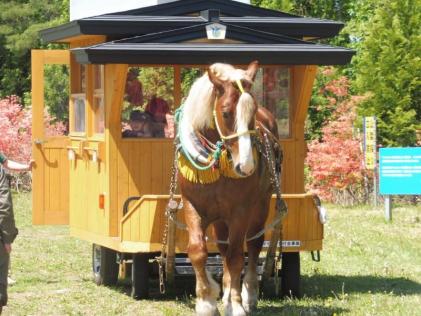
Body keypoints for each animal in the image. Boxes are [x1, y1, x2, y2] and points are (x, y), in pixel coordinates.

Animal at [177, 60, 278, 314]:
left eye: (253, 112)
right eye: (225, 112)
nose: (246, 165)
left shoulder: (240, 211)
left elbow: (236, 257)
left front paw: (236, 304)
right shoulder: (192, 205)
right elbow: (198, 251)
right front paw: (206, 300)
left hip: (261, 204)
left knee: (252, 244)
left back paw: (249, 293)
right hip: (220, 218)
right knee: (222, 247)